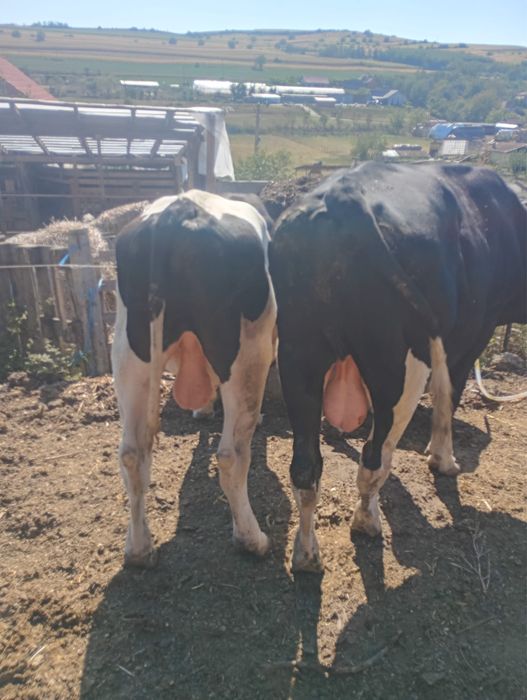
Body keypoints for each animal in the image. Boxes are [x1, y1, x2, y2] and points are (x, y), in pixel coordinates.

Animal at [112, 190, 277, 567]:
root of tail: (177, 211)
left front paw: (203, 409)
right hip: (247, 351)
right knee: (232, 454)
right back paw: (252, 539)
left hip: (129, 352)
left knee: (131, 454)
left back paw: (139, 549)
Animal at [269, 162, 526, 572]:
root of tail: (344, 196)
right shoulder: (474, 329)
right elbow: (449, 393)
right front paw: (442, 458)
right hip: (399, 364)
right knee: (375, 456)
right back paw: (366, 522)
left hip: (299, 356)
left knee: (306, 468)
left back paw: (307, 555)